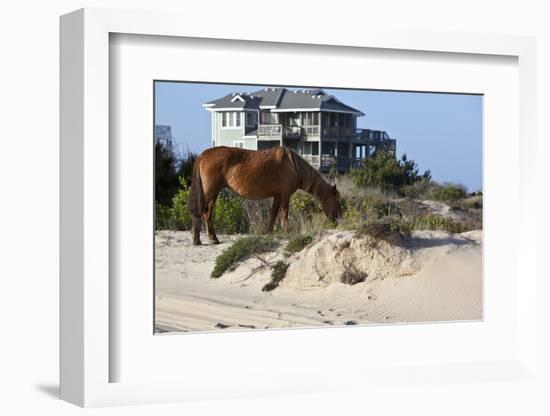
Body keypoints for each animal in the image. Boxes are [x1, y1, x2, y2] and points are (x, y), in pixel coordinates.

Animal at [190, 145, 342, 244]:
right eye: (336, 200)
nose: (338, 219)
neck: (293, 164)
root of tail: (203, 155)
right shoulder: (285, 194)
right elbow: (284, 214)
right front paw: (287, 232)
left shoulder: (278, 196)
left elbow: (273, 214)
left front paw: (269, 233)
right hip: (210, 192)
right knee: (202, 213)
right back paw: (199, 239)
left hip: (214, 193)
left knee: (206, 214)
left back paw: (212, 238)